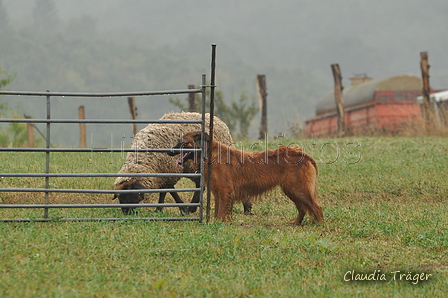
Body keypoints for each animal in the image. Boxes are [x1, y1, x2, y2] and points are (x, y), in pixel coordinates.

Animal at [113, 113, 252, 215]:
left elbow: (170, 191)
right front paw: (159, 209)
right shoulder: (163, 173)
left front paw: (182, 210)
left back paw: (247, 207)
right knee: (200, 185)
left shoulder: (169, 172)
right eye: (120, 198)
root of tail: (219, 121)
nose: (126, 214)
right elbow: (165, 191)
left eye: (130, 195)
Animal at [170, 132, 324, 225]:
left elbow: (221, 211)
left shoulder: (224, 191)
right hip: (292, 190)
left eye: (183, 143)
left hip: (298, 189)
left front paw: (219, 223)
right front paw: (218, 222)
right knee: (302, 208)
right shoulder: (218, 192)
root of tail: (302, 153)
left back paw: (320, 224)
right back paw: (296, 223)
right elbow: (218, 210)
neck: (210, 154)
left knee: (316, 207)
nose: (169, 151)